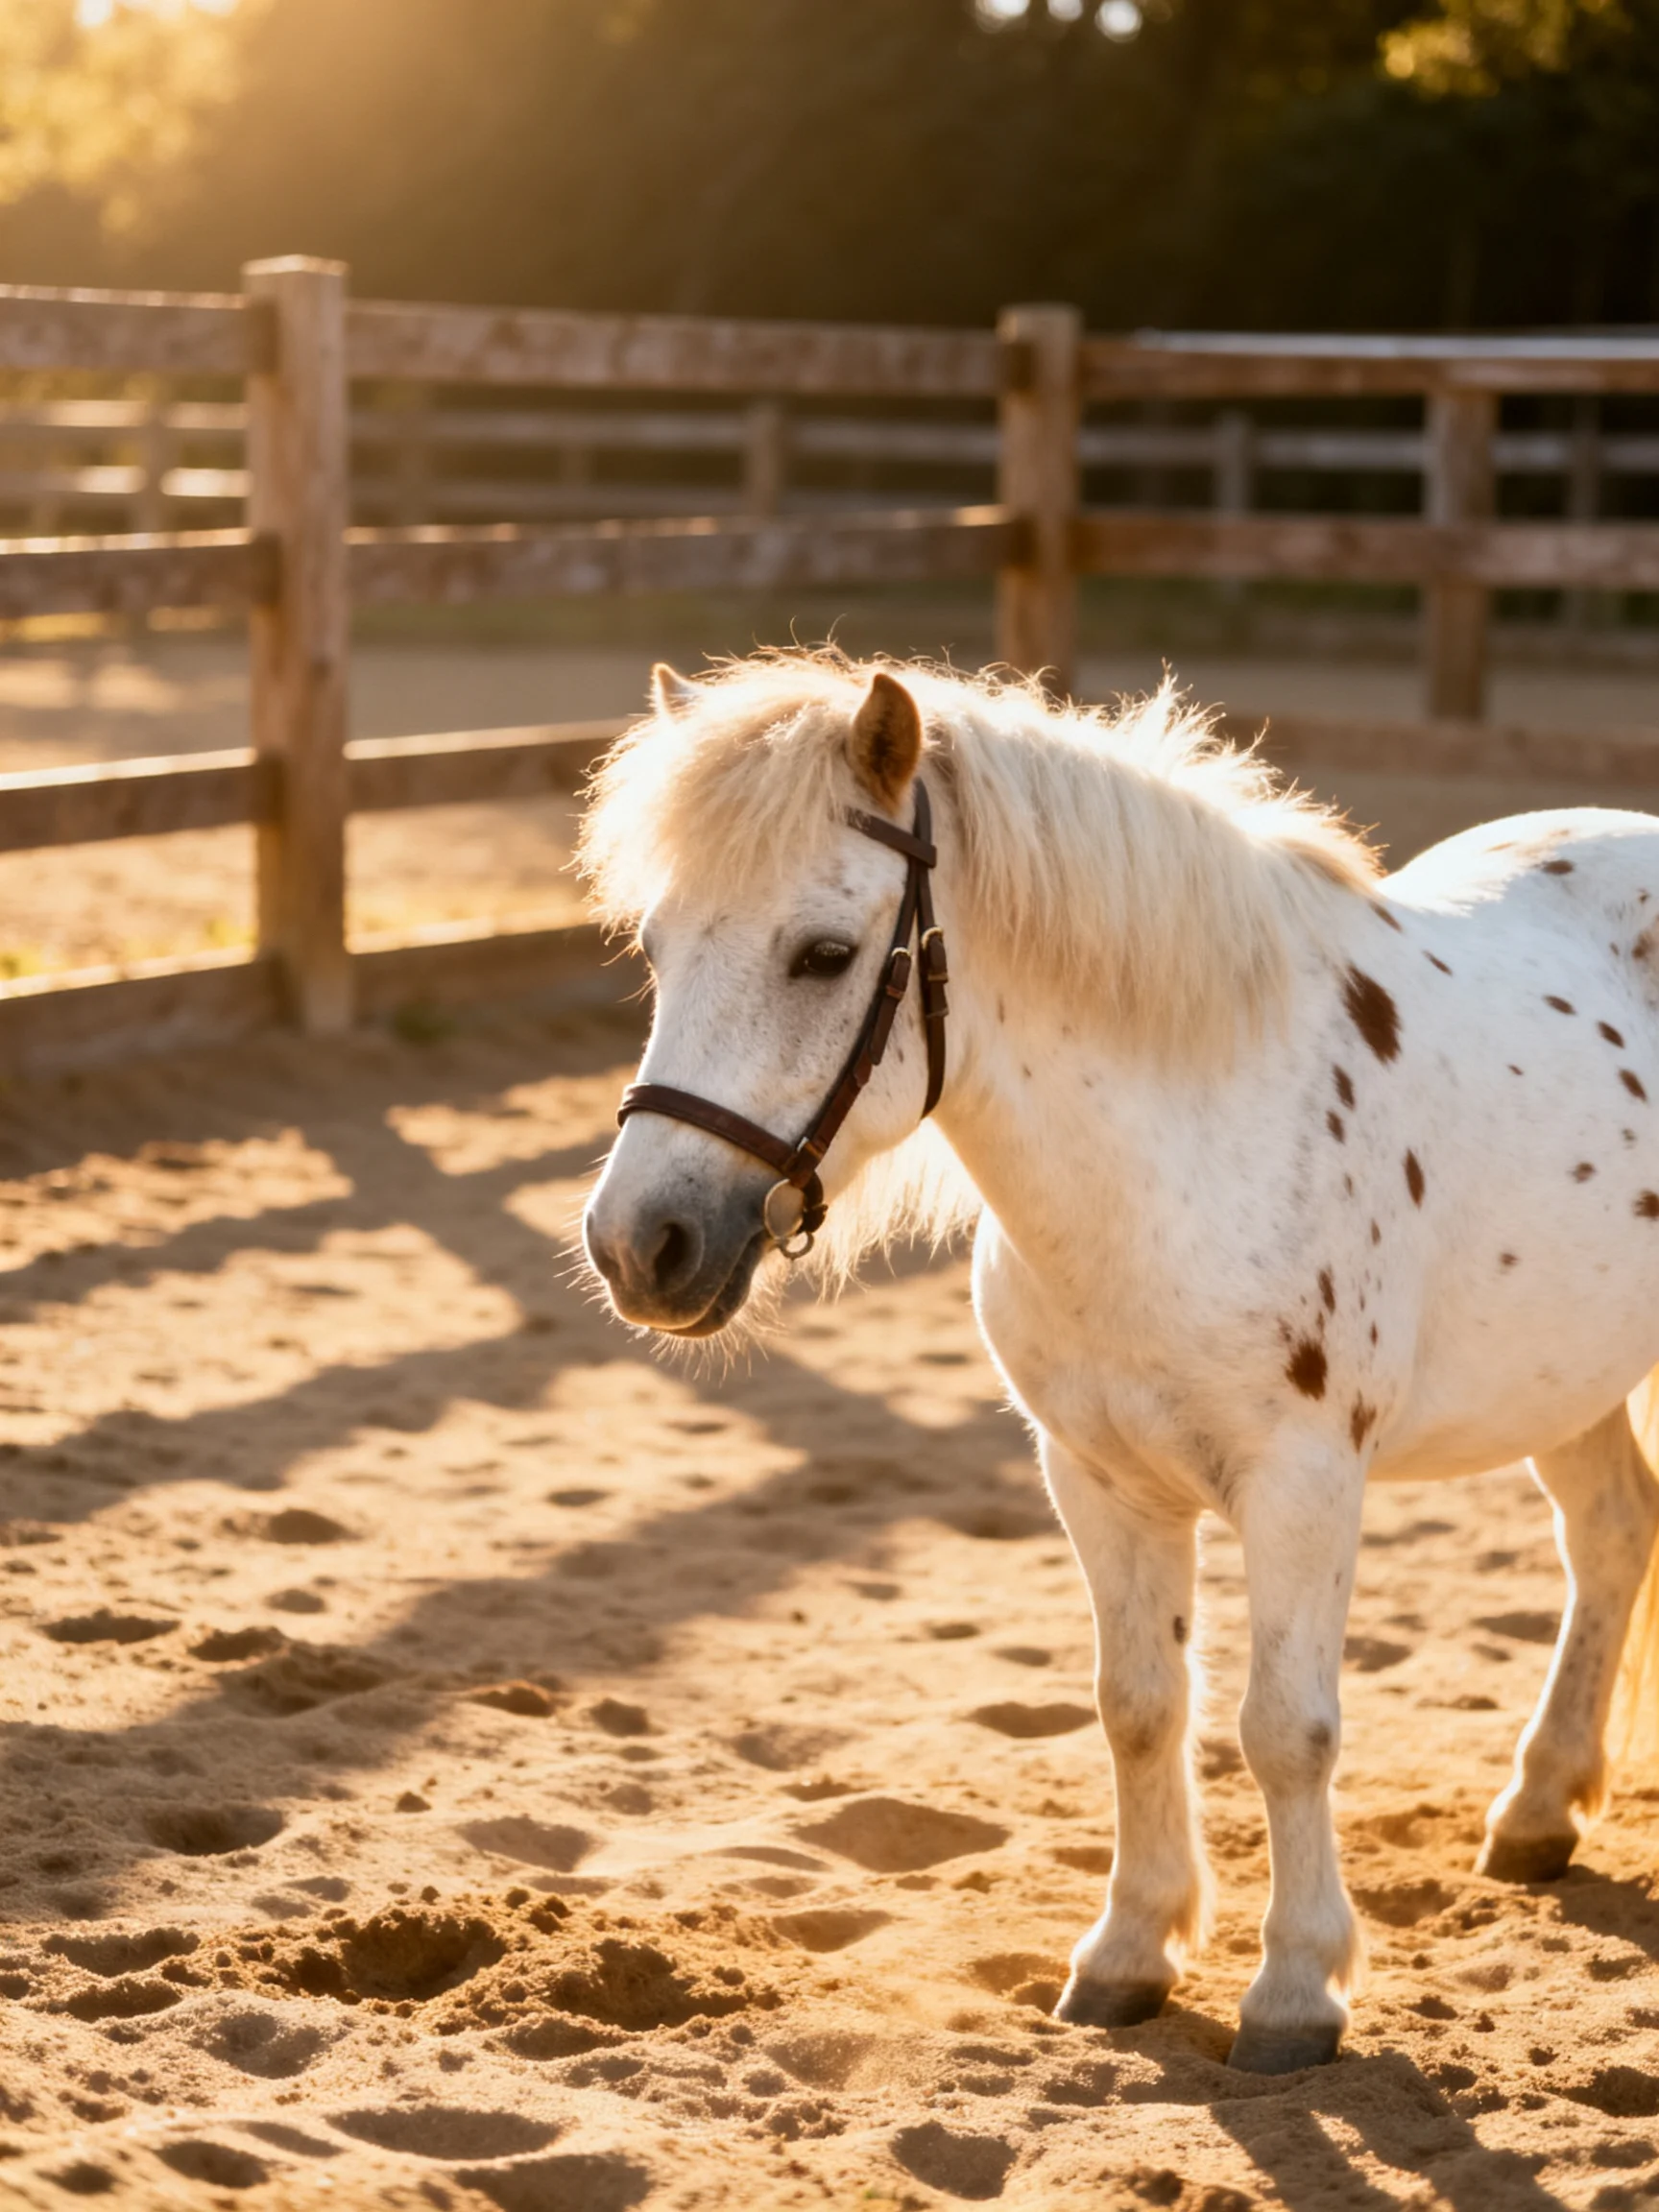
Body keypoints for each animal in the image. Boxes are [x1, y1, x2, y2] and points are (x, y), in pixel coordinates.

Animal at [579, 648, 1659, 2073]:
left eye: (823, 954)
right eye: (654, 948)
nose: (639, 1245)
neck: (1186, 1147)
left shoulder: (1303, 1483)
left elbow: (1286, 1729)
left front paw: (1296, 1990)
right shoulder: (1097, 1477)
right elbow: (1139, 1704)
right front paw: (1131, 1954)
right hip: (1569, 1375)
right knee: (1611, 1534)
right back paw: (1538, 1811)